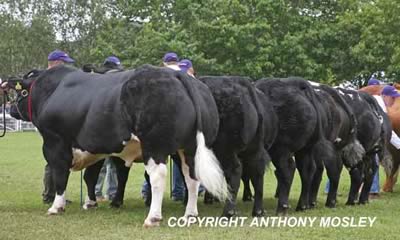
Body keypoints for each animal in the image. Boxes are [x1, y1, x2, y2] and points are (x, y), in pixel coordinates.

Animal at [6, 63, 227, 227]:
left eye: (20, 93)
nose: (10, 109)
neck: (51, 91)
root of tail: (176, 75)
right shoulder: (94, 147)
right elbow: (90, 176)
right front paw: (90, 202)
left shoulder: (55, 142)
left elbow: (59, 174)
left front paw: (56, 206)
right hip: (188, 148)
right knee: (192, 177)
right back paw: (190, 214)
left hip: (154, 146)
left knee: (158, 177)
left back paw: (153, 217)